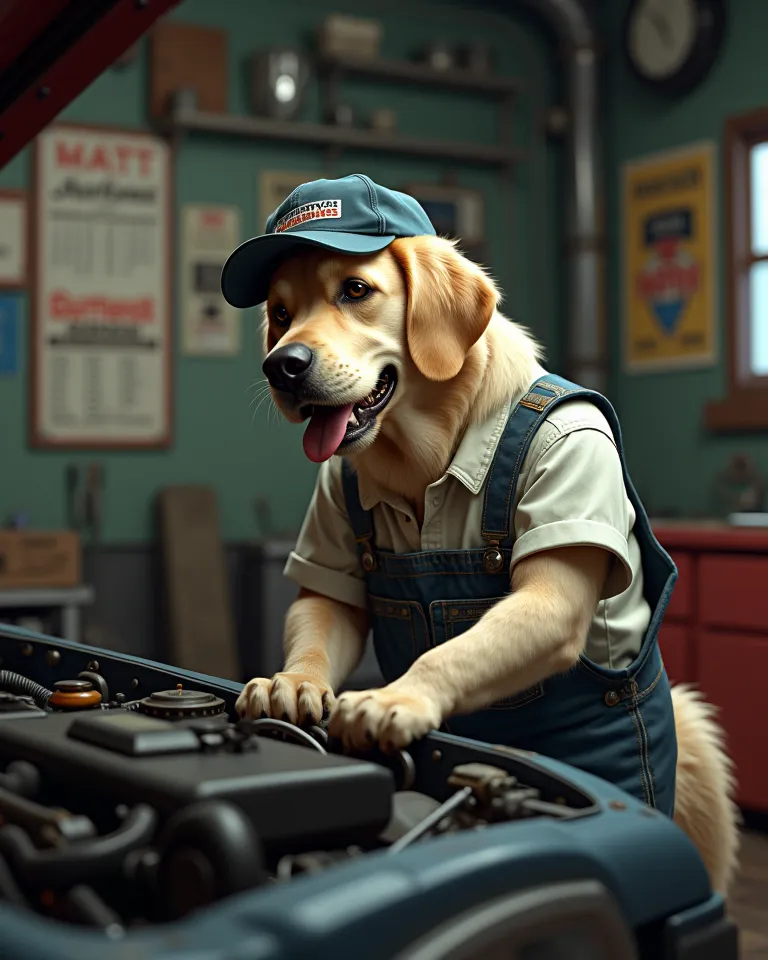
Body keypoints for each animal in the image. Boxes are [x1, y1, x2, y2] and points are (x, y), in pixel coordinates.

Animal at [238, 236, 736, 896]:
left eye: (355, 290)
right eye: (280, 313)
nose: (281, 365)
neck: (429, 442)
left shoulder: (572, 453)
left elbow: (451, 650)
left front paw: (396, 699)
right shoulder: (332, 497)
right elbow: (327, 609)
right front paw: (291, 685)